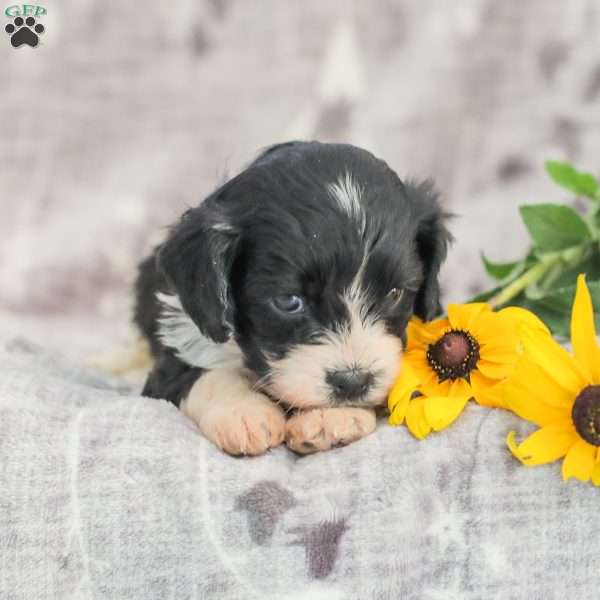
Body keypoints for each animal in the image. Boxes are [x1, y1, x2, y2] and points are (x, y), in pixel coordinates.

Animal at [132, 143, 450, 458]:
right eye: (288, 302)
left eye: (394, 294)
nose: (352, 382)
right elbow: (202, 374)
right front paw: (244, 413)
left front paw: (332, 417)